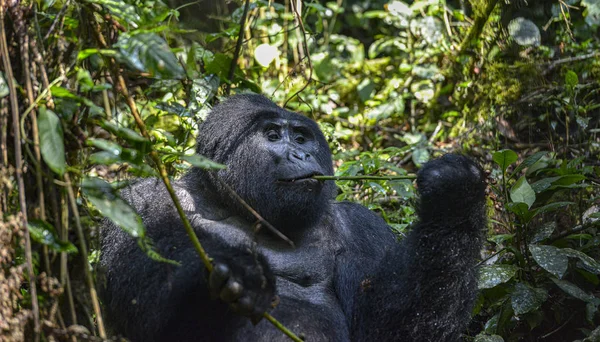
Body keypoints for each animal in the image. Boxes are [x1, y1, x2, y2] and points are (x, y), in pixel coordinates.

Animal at [99, 93, 488, 342]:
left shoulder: (361, 225)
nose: (301, 155)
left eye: (301, 138)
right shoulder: (142, 199)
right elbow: (138, 306)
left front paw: (455, 196)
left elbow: (387, 330)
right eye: (273, 135)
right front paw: (237, 271)